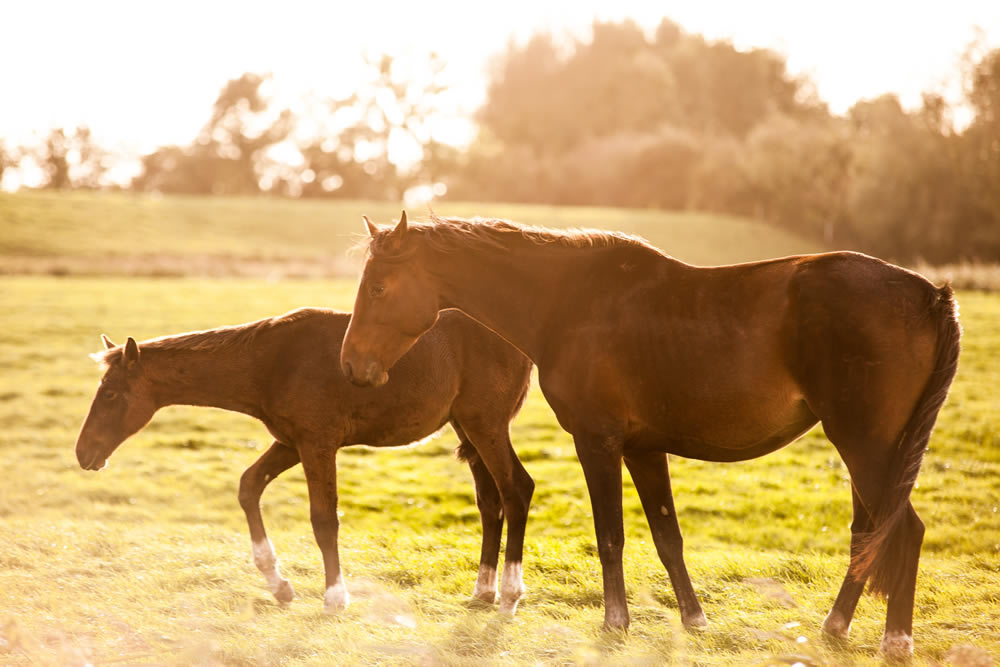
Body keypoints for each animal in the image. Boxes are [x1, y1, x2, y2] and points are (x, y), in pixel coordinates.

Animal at [74, 308, 536, 616]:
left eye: (111, 393)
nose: (83, 452)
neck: (272, 360)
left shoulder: (317, 444)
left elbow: (323, 518)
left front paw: (335, 597)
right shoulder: (290, 443)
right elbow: (249, 486)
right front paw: (279, 586)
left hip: (486, 426)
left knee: (516, 490)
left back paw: (510, 596)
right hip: (468, 430)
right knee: (490, 502)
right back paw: (483, 591)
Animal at [342, 211, 960, 660]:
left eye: (378, 288)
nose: (351, 366)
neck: (567, 300)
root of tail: (928, 294)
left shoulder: (597, 442)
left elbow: (611, 536)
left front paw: (615, 623)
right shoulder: (643, 448)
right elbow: (667, 537)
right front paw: (694, 619)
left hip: (868, 447)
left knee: (903, 531)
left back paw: (894, 641)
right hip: (868, 450)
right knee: (868, 534)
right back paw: (835, 627)